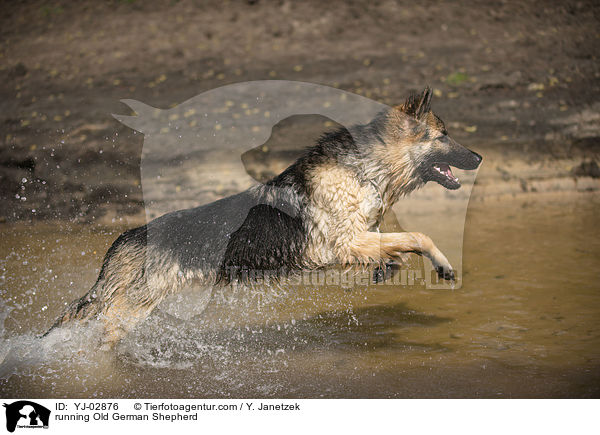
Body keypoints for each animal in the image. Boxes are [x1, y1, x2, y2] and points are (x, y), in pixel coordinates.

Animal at [43, 87, 482, 350]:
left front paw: (386, 268)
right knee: (103, 332)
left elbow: (397, 250)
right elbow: (420, 236)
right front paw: (442, 265)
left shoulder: (359, 239)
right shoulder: (348, 241)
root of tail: (129, 235)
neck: (364, 168)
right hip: (132, 308)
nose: (479, 158)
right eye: (444, 135)